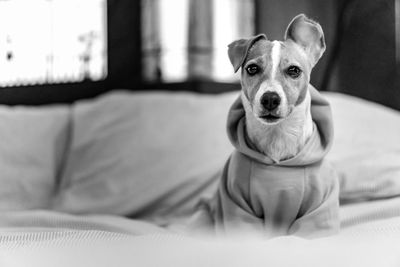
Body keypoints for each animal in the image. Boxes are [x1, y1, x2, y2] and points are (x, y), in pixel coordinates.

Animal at [190, 13, 338, 240]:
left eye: (294, 70)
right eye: (252, 68)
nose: (270, 99)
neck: (277, 138)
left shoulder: (318, 207)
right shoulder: (236, 204)